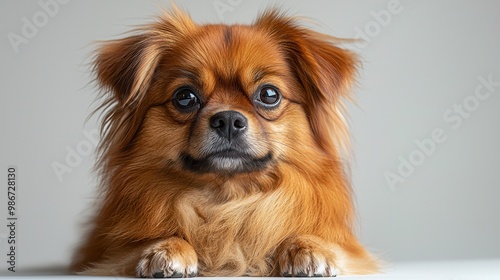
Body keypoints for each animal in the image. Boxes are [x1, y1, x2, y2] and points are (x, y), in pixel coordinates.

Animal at [71, 6, 378, 278]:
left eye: (269, 94)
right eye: (185, 97)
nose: (228, 119)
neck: (229, 201)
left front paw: (306, 247)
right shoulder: (109, 255)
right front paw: (168, 247)